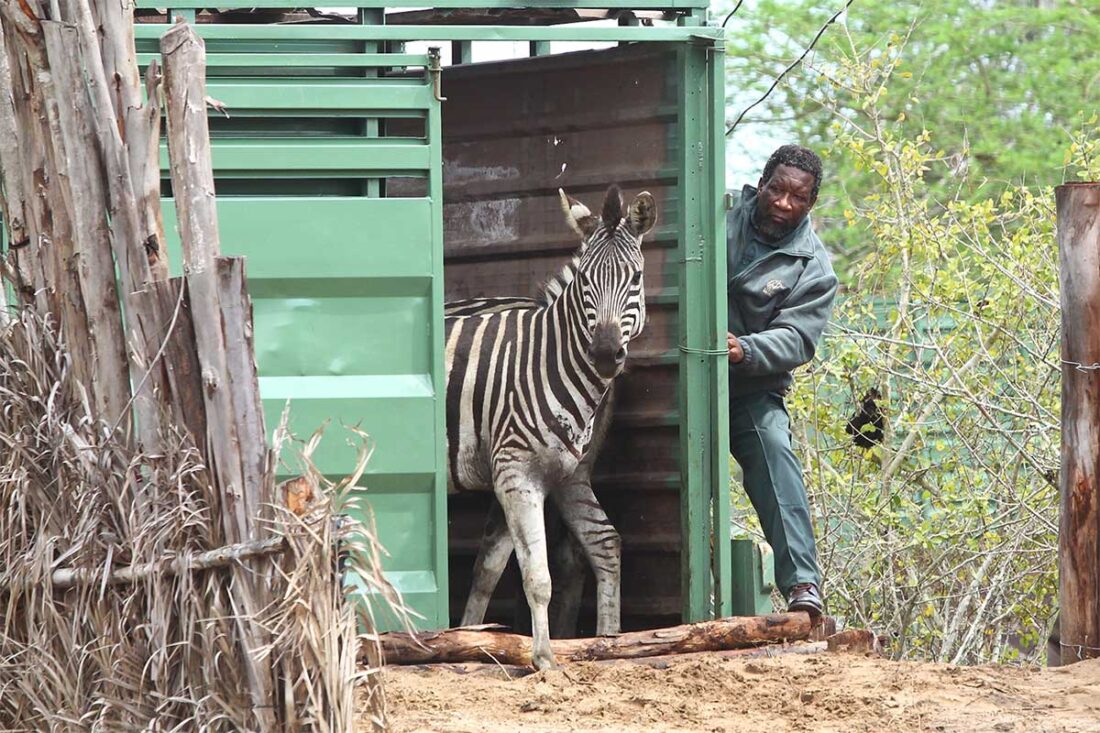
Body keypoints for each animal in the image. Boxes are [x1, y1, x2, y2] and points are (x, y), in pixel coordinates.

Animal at [444, 183, 651, 669]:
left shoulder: (555, 473)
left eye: (635, 279)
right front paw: (543, 657)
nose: (606, 354)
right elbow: (535, 575)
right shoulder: (516, 472)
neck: (547, 360)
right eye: (586, 283)